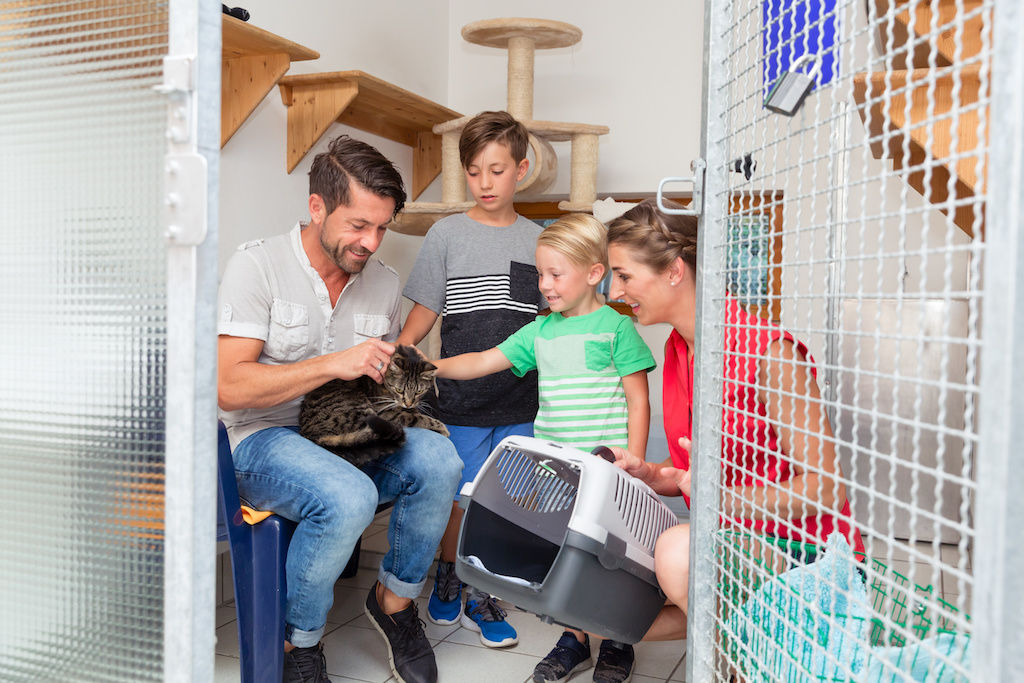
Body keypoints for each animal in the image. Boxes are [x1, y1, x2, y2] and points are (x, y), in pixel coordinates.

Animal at [299, 344, 452, 466]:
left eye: (419, 391)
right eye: (399, 390)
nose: (408, 403)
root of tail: (310, 433)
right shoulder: (385, 411)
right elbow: (417, 417)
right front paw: (442, 428)